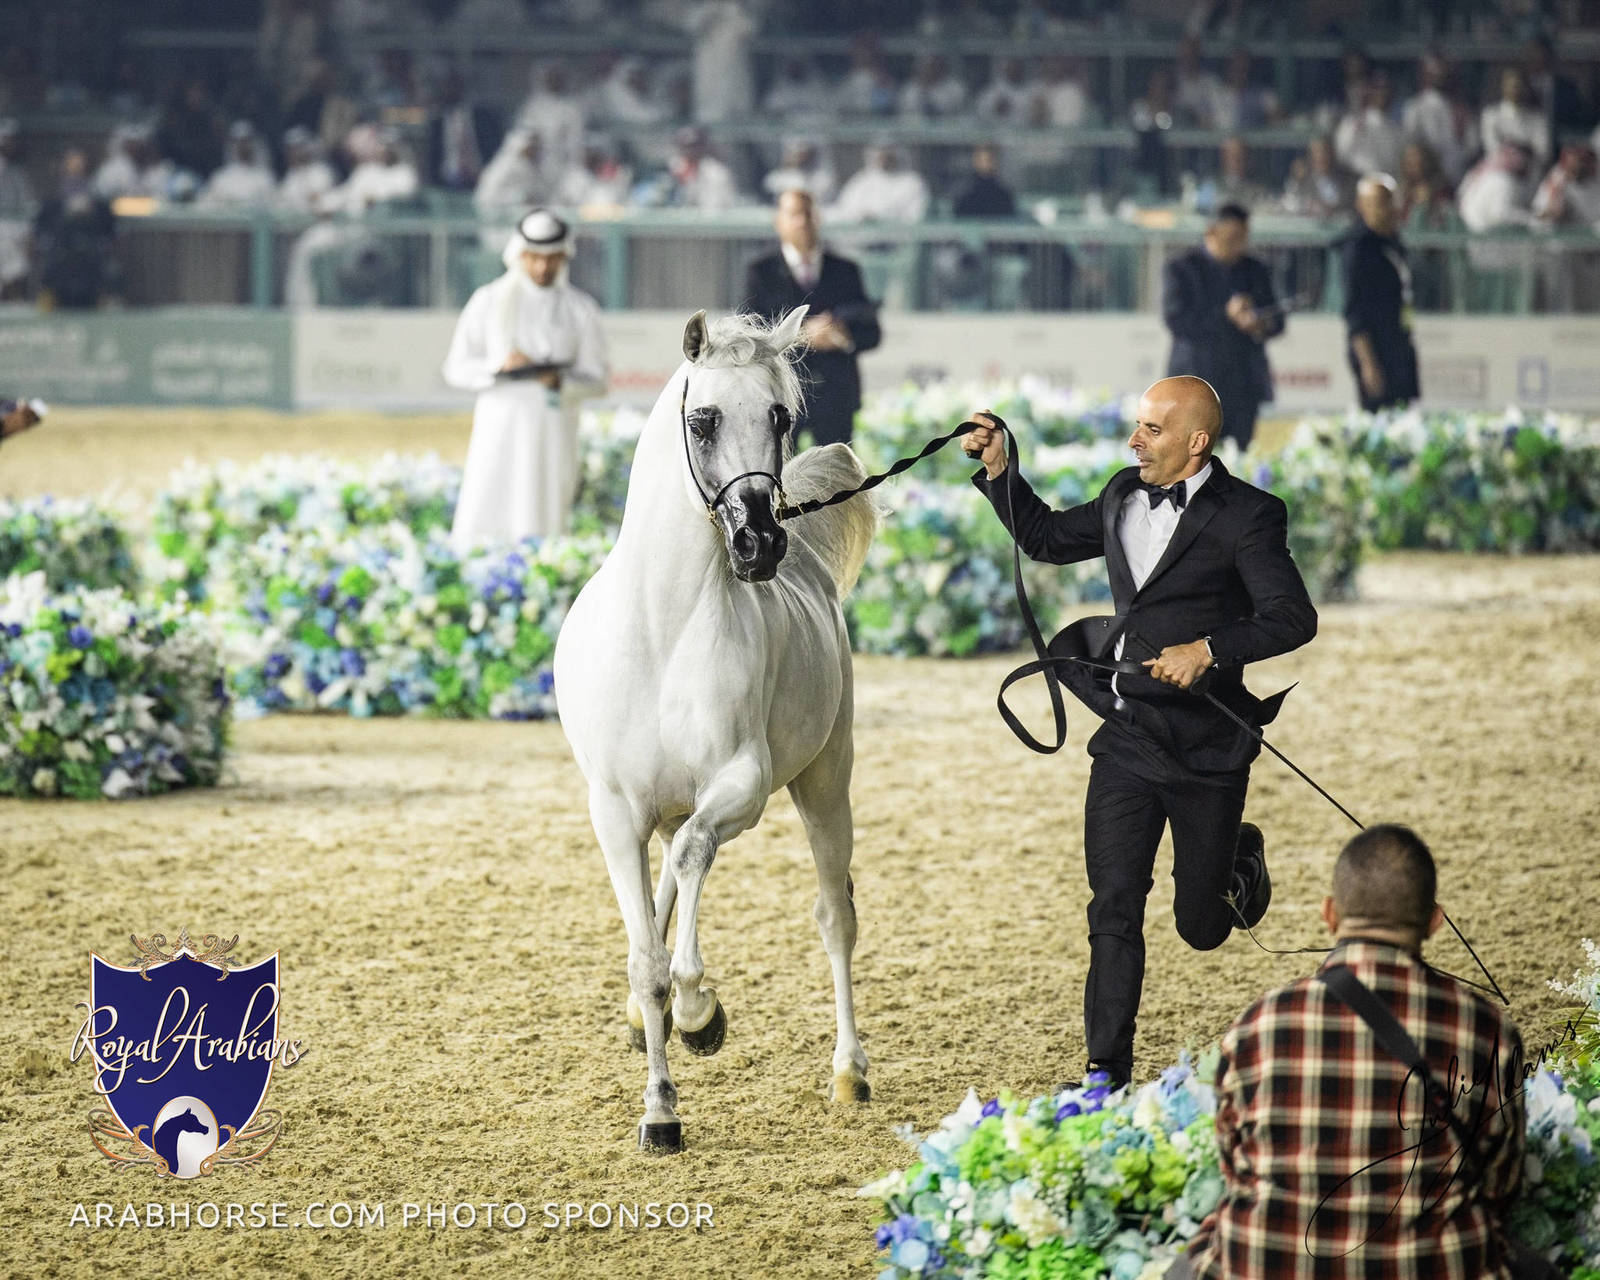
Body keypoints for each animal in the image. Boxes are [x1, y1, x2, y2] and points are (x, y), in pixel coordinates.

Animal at [553, 306, 879, 1152]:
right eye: (702, 419)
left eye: (780, 416)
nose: (760, 544)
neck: (661, 632)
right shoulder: (615, 812)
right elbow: (646, 955)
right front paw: (660, 1110)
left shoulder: (745, 785)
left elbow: (694, 876)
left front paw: (701, 1015)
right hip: (666, 808)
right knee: (668, 886)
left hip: (826, 782)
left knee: (834, 917)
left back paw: (850, 1073)